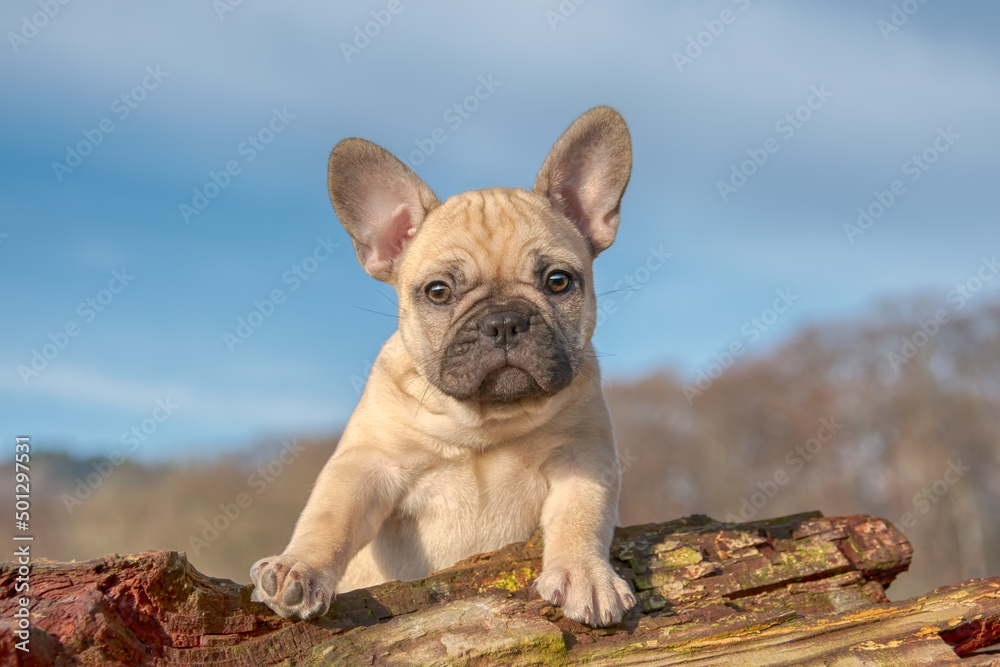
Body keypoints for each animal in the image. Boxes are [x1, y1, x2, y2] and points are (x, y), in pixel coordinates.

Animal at [249, 105, 632, 628]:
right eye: (438, 292)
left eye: (558, 281)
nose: (504, 322)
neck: (486, 424)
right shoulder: (366, 465)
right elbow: (330, 518)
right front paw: (298, 568)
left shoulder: (584, 460)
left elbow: (581, 516)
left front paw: (585, 574)